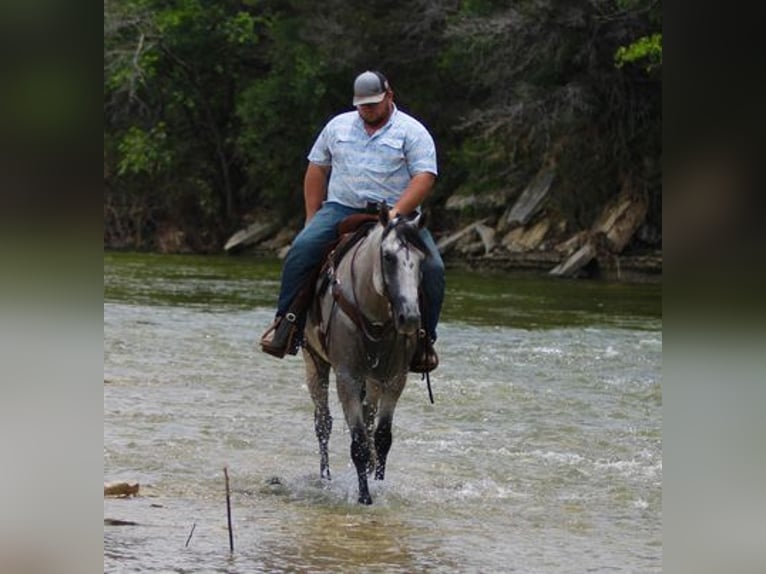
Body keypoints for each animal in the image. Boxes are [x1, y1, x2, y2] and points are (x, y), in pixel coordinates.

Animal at [302, 206, 432, 504]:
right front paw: (364, 496)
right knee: (323, 422)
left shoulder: (395, 378)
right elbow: (359, 441)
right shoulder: (347, 377)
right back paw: (325, 477)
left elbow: (382, 437)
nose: (409, 318)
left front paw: (378, 483)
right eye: (388, 257)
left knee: (369, 416)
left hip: (373, 380)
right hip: (314, 361)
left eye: (422, 260)